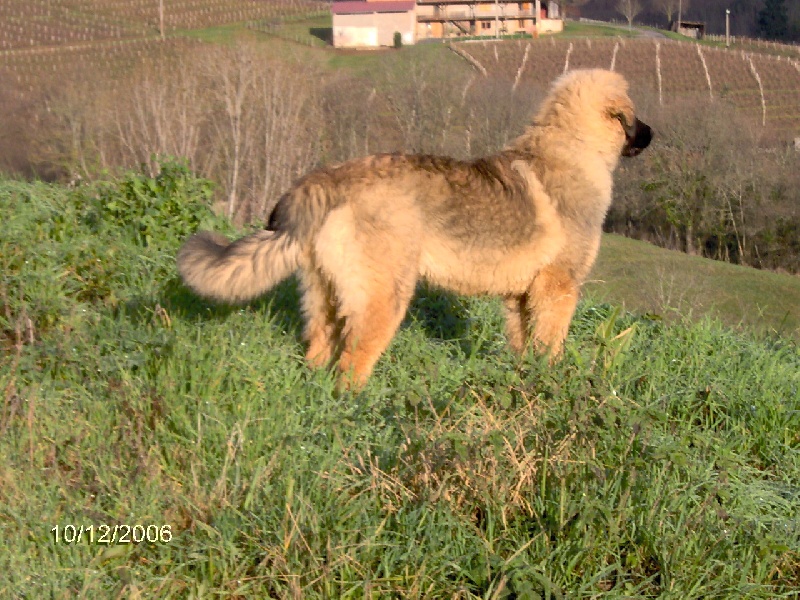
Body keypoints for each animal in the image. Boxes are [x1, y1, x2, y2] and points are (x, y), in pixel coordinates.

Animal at [178, 70, 652, 390]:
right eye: (634, 116)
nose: (652, 132)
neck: (572, 147)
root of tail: (329, 179)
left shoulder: (521, 297)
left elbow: (523, 345)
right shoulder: (558, 288)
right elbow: (551, 345)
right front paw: (552, 385)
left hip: (323, 293)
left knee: (318, 353)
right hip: (383, 297)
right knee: (351, 367)